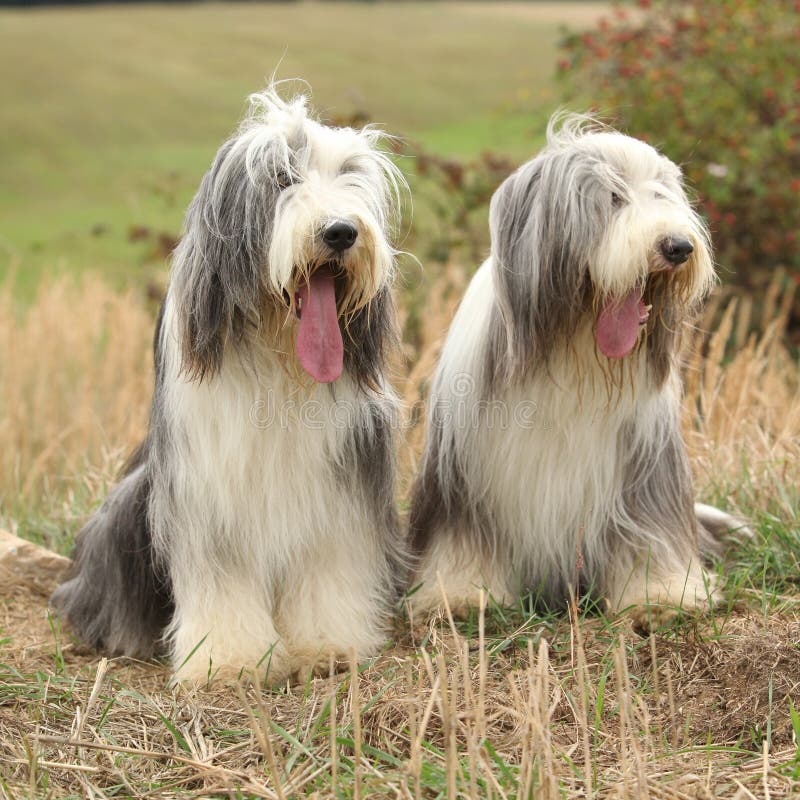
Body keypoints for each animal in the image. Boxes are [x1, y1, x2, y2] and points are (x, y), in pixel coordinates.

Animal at [51, 86, 406, 680]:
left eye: (349, 176)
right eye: (281, 177)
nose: (341, 231)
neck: (280, 365)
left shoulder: (339, 489)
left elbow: (326, 567)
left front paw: (326, 645)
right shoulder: (208, 487)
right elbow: (222, 578)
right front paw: (229, 660)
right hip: (125, 509)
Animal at [412, 115, 744, 628]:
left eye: (663, 195)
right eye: (611, 197)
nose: (679, 246)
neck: (574, 353)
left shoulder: (645, 470)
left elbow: (648, 534)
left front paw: (661, 594)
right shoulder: (463, 478)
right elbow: (463, 537)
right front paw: (462, 593)